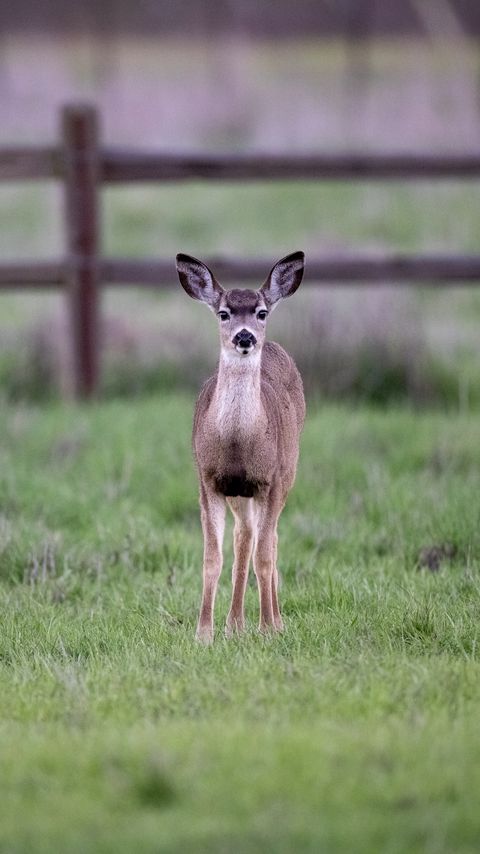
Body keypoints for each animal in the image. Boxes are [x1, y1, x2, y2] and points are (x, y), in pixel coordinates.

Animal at [175, 252, 304, 640]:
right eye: (223, 313)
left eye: (261, 312)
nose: (244, 336)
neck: (237, 444)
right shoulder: (208, 482)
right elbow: (212, 559)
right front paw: (204, 633)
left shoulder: (270, 481)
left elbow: (265, 555)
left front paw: (268, 628)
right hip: (239, 493)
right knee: (243, 537)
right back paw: (234, 624)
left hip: (288, 472)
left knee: (269, 540)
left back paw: (271, 620)